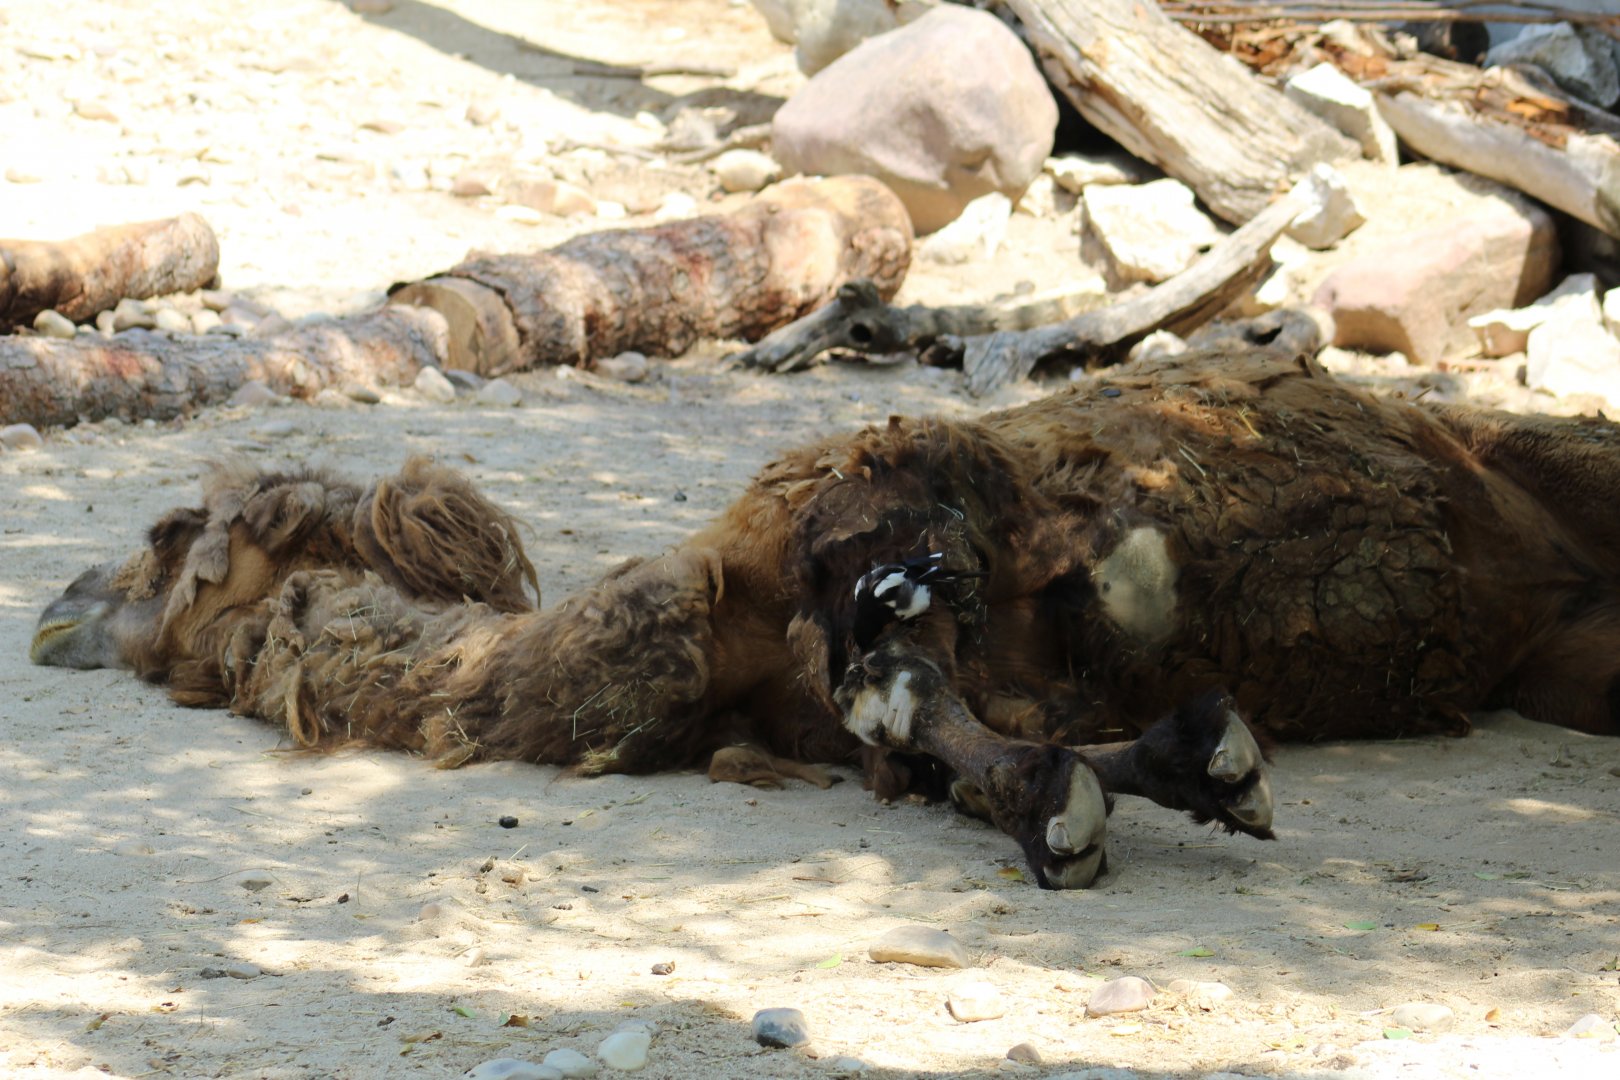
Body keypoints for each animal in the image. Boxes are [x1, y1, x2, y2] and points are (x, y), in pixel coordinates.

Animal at [31, 349, 1620, 888]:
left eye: (165, 539)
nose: (48, 608)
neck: (708, 613)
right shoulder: (860, 684)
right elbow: (928, 733)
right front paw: (1171, 775)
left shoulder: (901, 535)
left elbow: (914, 679)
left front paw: (1152, 779)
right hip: (1570, 660)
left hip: (1565, 461)